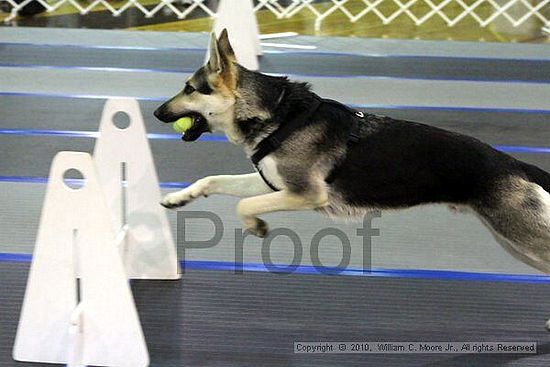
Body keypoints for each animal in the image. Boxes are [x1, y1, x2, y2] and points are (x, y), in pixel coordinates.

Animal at [155, 30, 550, 280]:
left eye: (189, 89)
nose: (157, 113)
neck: (278, 116)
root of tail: (515, 162)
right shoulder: (273, 185)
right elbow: (214, 180)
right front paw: (178, 197)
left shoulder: (305, 194)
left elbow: (243, 205)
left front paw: (256, 226)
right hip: (511, 242)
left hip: (519, 237)